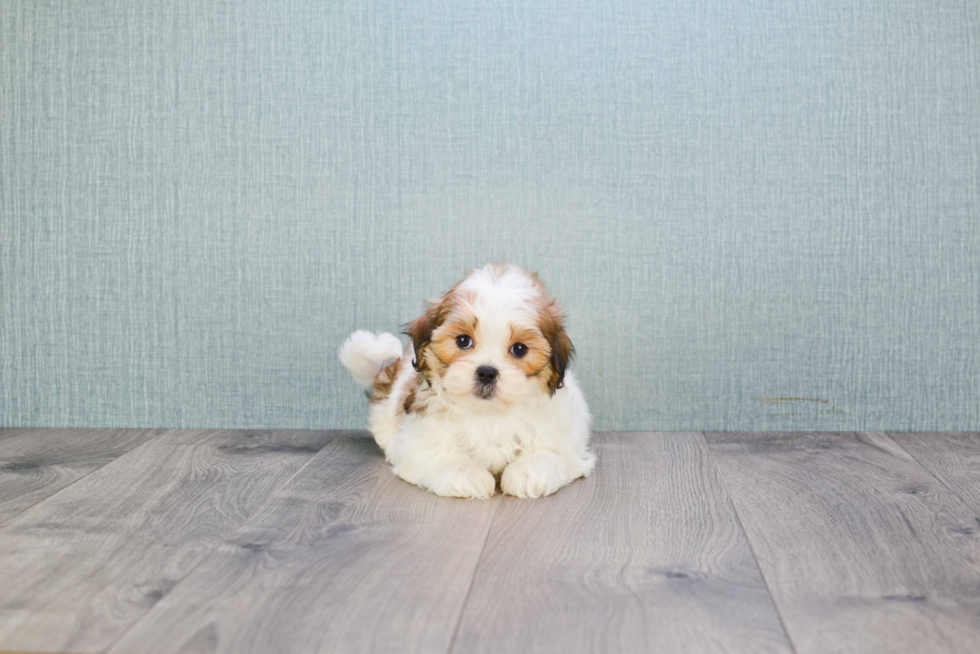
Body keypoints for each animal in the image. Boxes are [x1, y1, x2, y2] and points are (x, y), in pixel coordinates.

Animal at [340, 264, 592, 500]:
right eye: (463, 341)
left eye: (519, 349)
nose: (487, 372)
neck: (488, 414)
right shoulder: (418, 437)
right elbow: (437, 453)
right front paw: (463, 473)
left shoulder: (563, 436)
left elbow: (551, 453)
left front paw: (529, 471)